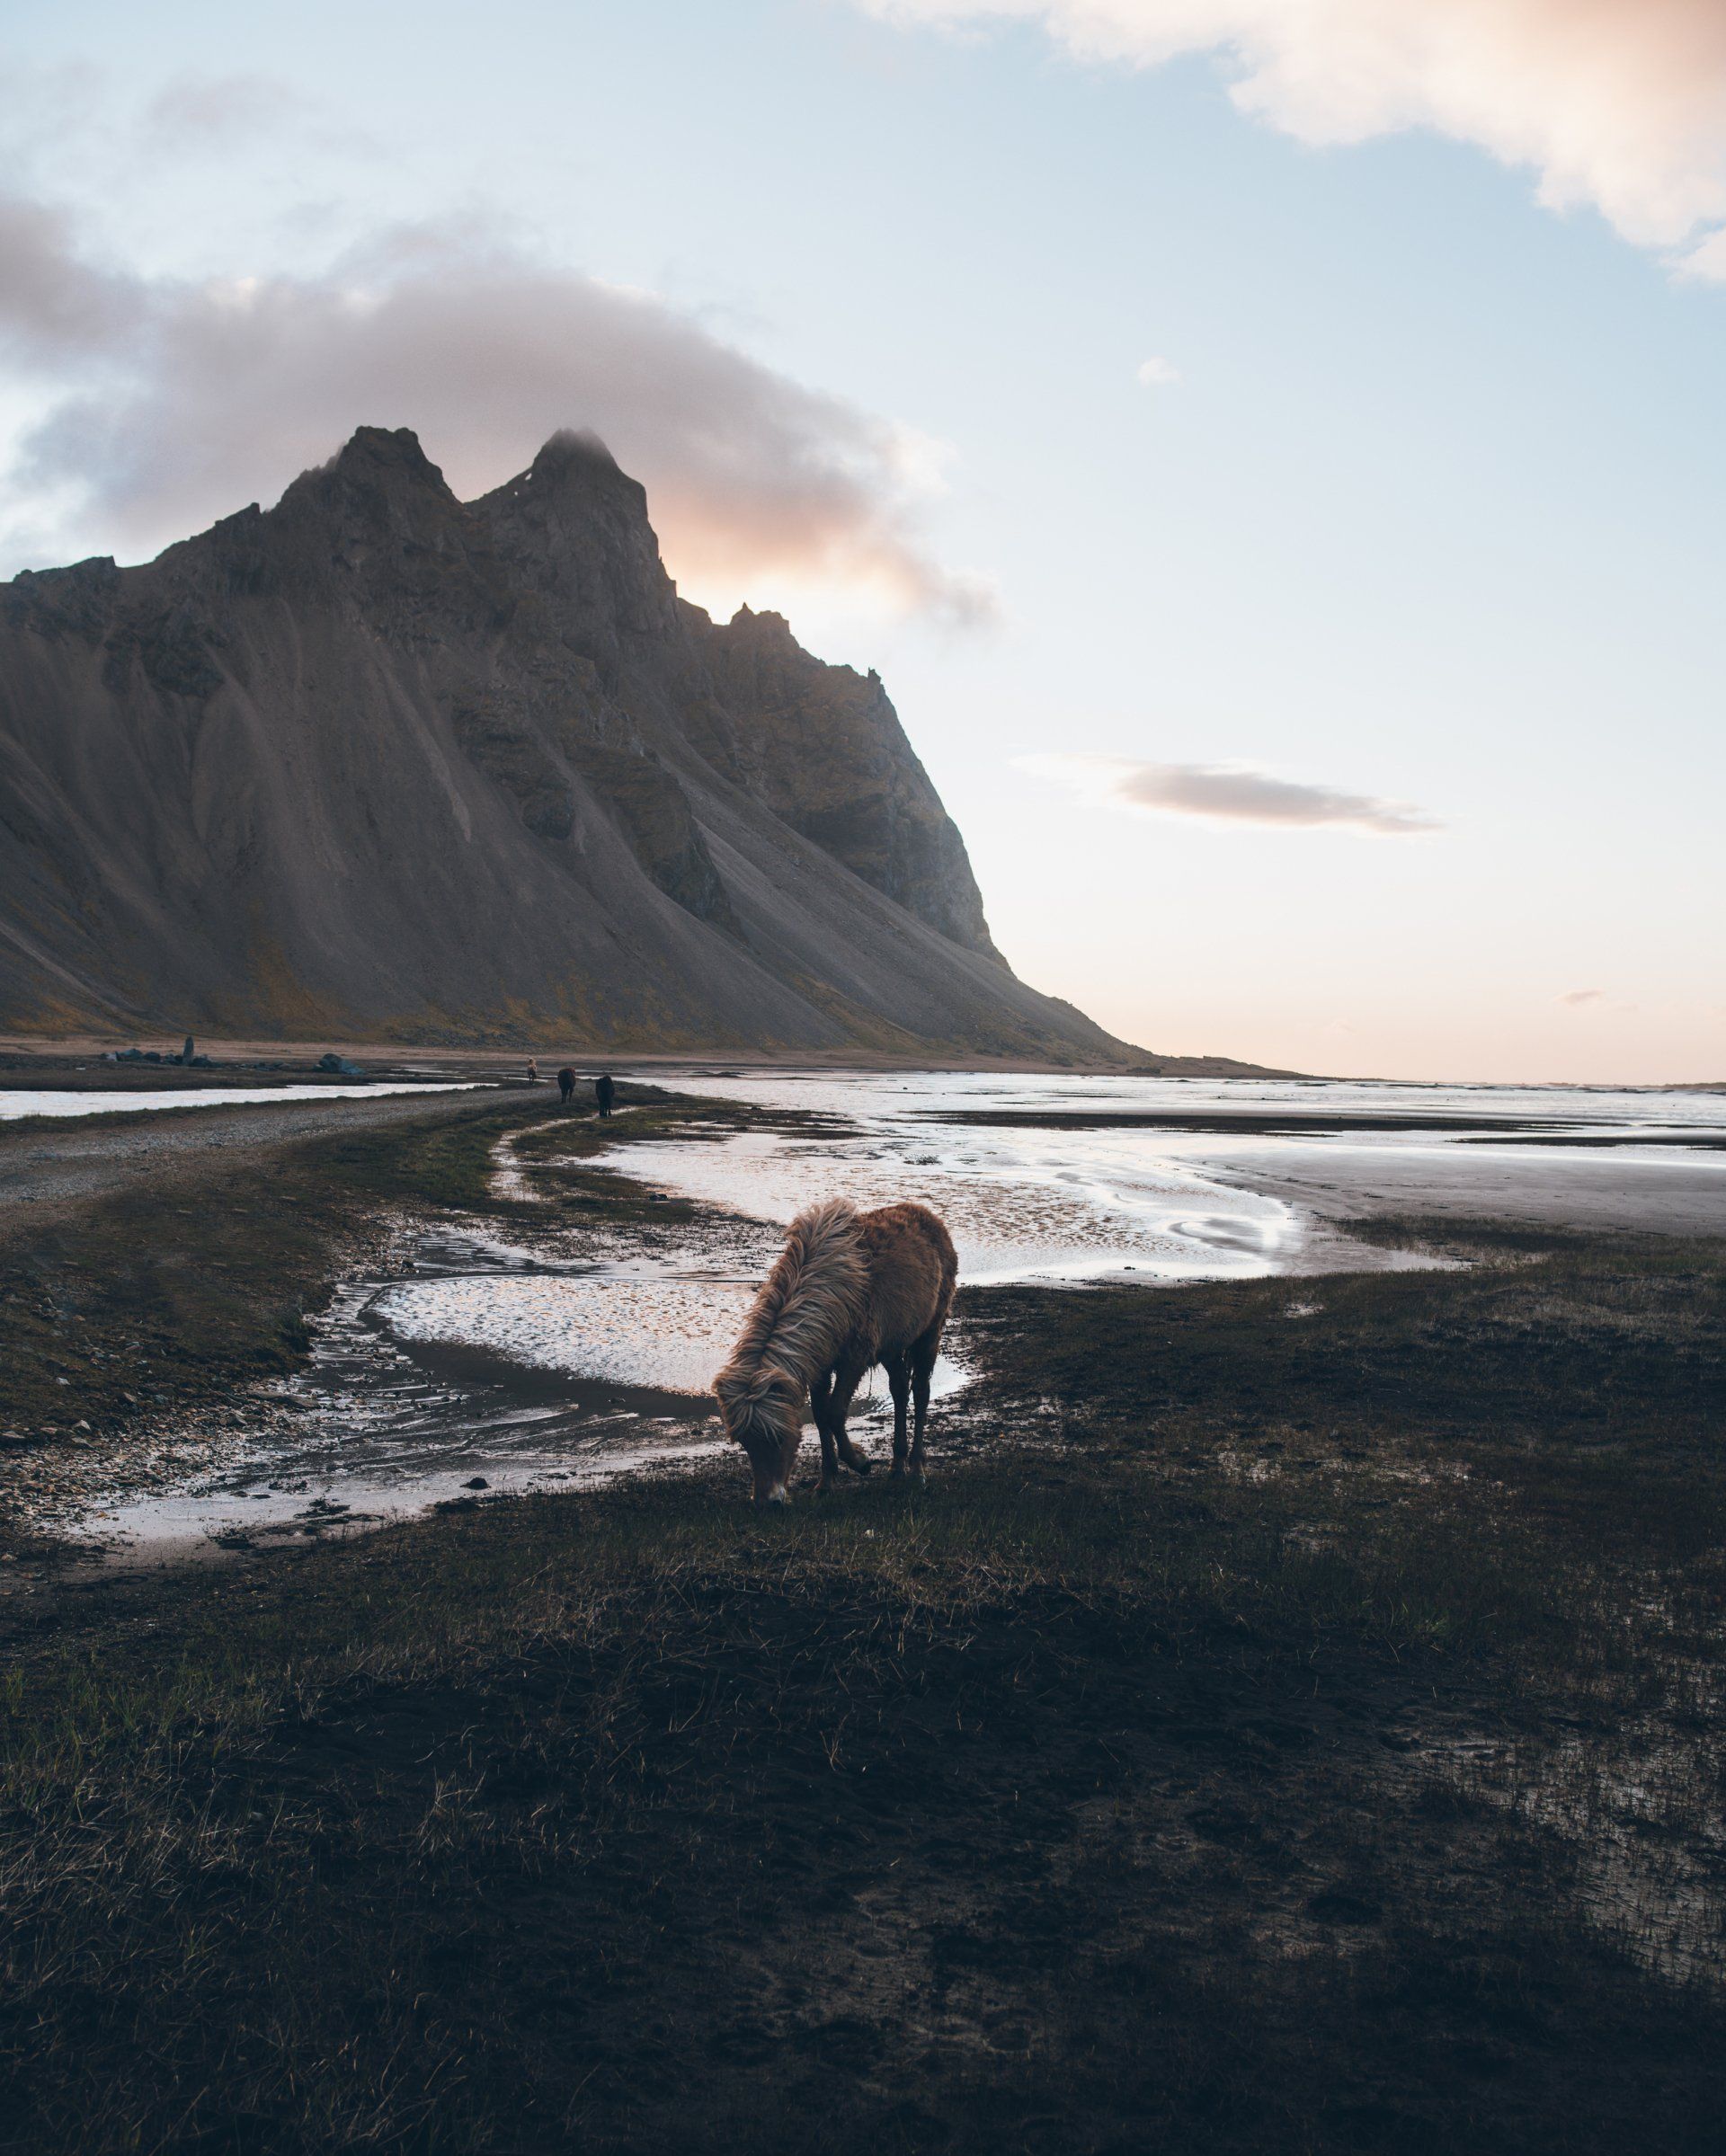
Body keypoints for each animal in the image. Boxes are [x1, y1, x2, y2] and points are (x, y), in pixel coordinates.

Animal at [713, 1198, 957, 1504]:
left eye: (777, 1438)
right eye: (746, 1442)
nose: (767, 1501)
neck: (831, 1292)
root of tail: (930, 1217)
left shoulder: (854, 1361)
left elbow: (835, 1412)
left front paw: (860, 1462)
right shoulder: (819, 1364)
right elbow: (820, 1416)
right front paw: (826, 1481)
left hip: (929, 1333)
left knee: (921, 1393)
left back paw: (916, 1470)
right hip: (891, 1346)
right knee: (900, 1390)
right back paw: (897, 1466)